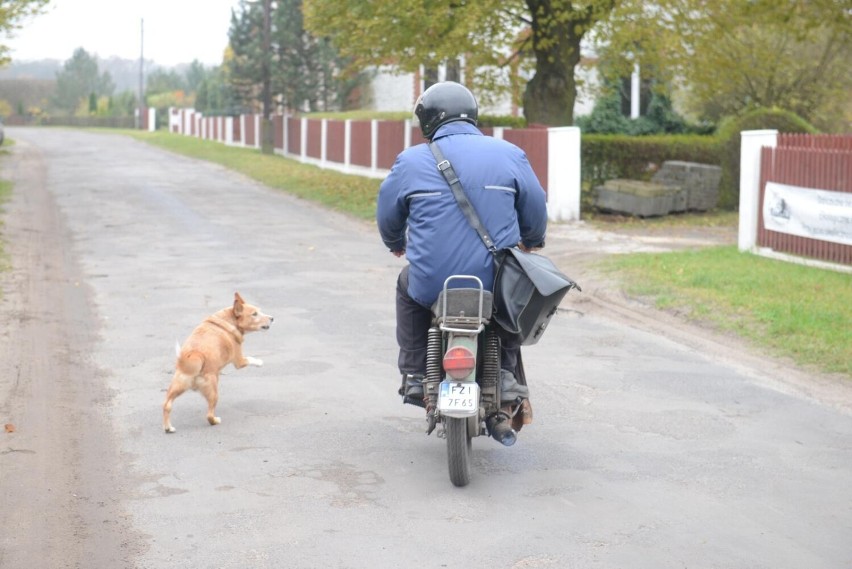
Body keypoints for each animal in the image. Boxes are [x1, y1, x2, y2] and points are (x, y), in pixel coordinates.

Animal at [162, 290, 272, 432]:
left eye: (259, 311)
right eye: (254, 314)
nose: (272, 318)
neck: (229, 320)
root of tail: (195, 356)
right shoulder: (239, 361)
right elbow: (251, 359)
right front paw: (259, 362)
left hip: (177, 387)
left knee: (167, 405)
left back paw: (168, 428)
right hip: (213, 391)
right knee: (209, 415)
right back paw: (215, 420)